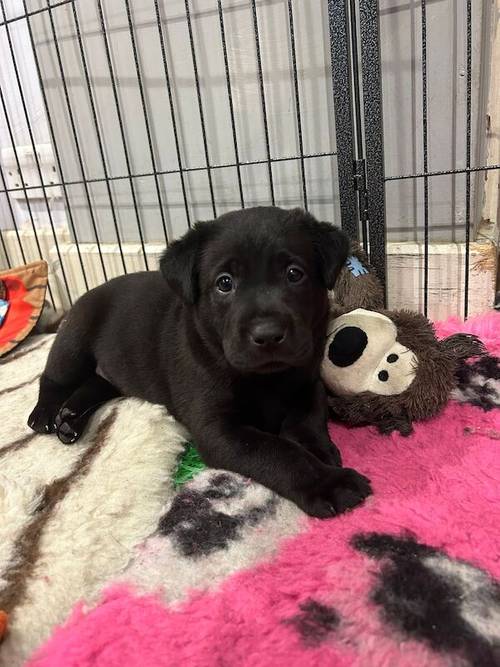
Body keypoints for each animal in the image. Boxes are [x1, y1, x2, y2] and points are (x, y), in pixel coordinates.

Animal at [28, 206, 372, 520]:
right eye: (224, 283)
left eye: (294, 274)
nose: (268, 335)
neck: (265, 377)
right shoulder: (218, 430)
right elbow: (279, 452)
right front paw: (328, 483)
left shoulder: (308, 380)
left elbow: (307, 419)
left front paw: (319, 449)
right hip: (75, 338)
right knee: (53, 377)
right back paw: (45, 414)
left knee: (97, 383)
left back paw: (69, 418)